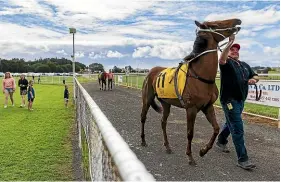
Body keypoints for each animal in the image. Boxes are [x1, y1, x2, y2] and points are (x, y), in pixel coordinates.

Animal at [140, 18, 241, 165]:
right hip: (147, 99)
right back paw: (143, 140)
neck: (201, 76)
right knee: (143, 117)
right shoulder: (191, 109)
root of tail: (151, 71)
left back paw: (167, 146)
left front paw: (203, 151)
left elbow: (216, 128)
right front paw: (190, 156)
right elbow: (190, 133)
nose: (237, 21)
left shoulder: (207, 106)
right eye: (216, 24)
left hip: (166, 103)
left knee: (163, 122)